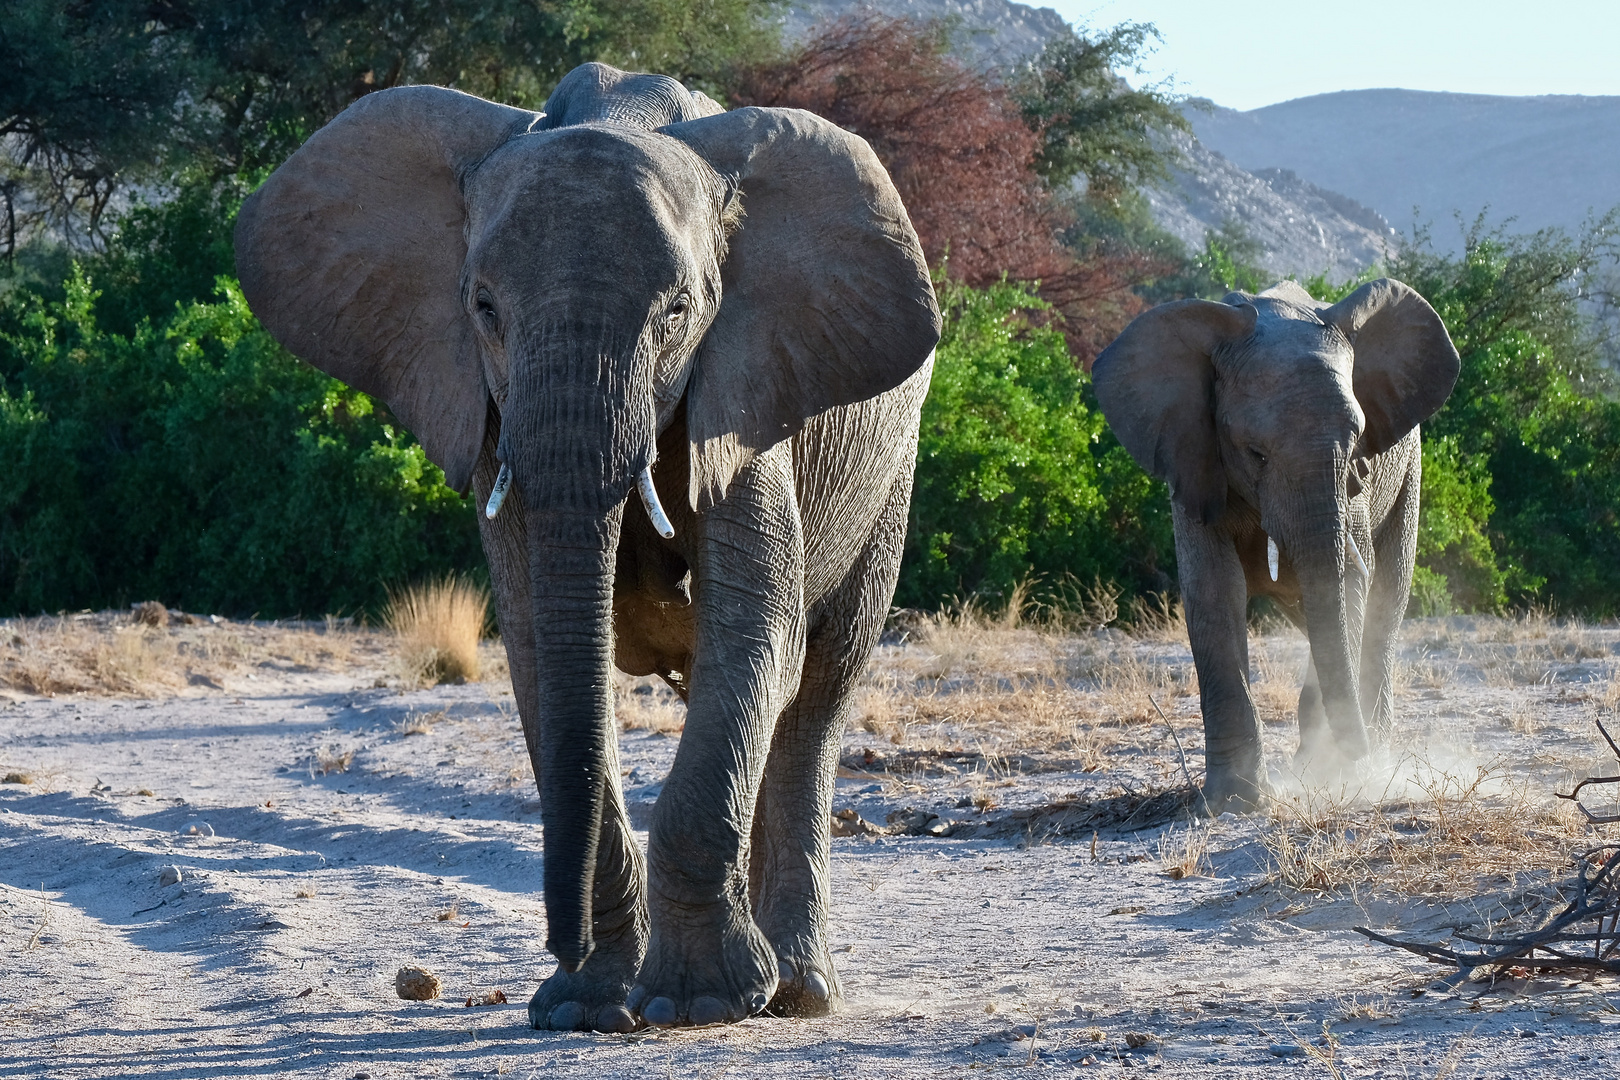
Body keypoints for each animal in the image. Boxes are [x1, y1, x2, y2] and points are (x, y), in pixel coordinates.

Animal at [230, 63, 939, 1036]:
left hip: (891, 474)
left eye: (680, 312)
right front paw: (587, 1008)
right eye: (483, 307)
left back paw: (796, 993)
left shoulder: (747, 387)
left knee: (817, 690)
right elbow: (542, 649)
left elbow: (756, 626)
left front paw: (698, 1003)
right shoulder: (494, 420)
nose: (558, 951)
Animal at [1095, 278, 1464, 809]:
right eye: (1255, 453)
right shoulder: (1193, 459)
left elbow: (1350, 583)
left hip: (1410, 477)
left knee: (1382, 604)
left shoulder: (1355, 484)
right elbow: (1213, 590)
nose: (1357, 756)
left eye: (1357, 441)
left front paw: (1332, 774)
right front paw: (1234, 801)